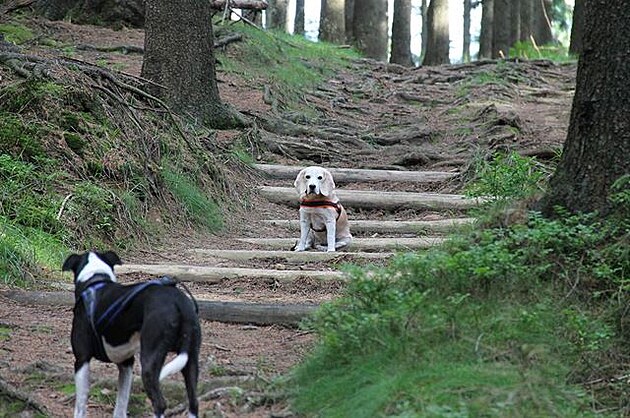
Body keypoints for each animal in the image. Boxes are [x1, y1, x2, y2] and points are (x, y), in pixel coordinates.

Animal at [63, 251, 201, 418]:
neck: (95, 280)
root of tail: (178, 303)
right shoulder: (126, 364)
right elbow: (121, 405)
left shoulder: (82, 360)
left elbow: (80, 405)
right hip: (191, 359)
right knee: (193, 402)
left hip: (149, 361)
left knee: (160, 403)